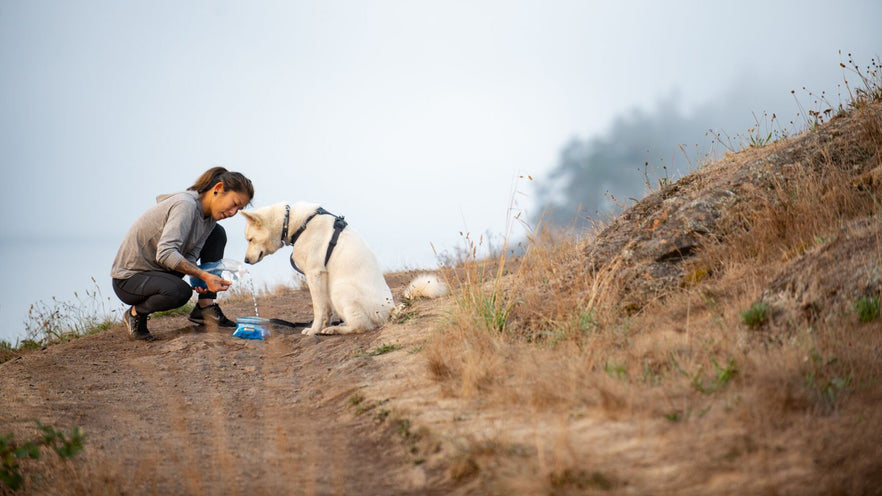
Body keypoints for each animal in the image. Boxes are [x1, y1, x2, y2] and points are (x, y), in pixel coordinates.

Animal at [241, 202, 444, 338]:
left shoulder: (314, 274)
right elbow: (326, 310)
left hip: (339, 289)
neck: (295, 223)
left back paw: (335, 329)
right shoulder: (321, 278)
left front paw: (314, 330)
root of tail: (390, 309)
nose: (245, 260)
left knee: (362, 326)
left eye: (250, 239)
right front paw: (322, 325)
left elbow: (318, 309)